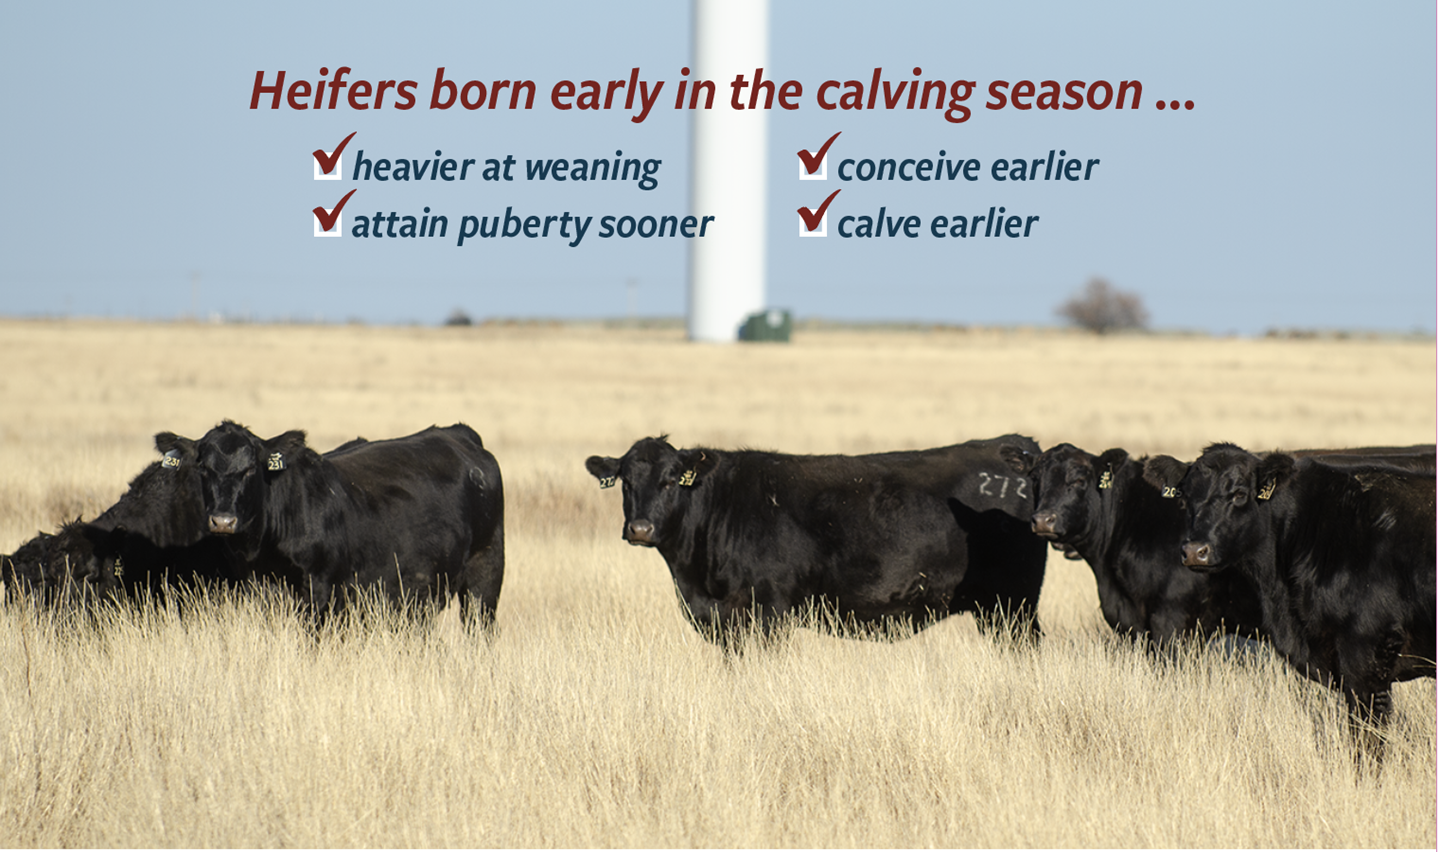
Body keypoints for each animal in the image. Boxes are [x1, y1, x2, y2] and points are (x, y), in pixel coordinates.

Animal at [177, 421, 504, 628]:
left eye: (249, 469)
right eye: (203, 468)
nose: (223, 520)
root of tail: (459, 434)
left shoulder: (320, 592)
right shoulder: (260, 590)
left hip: (485, 573)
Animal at [585, 435, 1047, 649]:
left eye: (669, 480)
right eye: (626, 480)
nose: (640, 529)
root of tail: (1013, 448)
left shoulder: (767, 613)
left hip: (1013, 605)